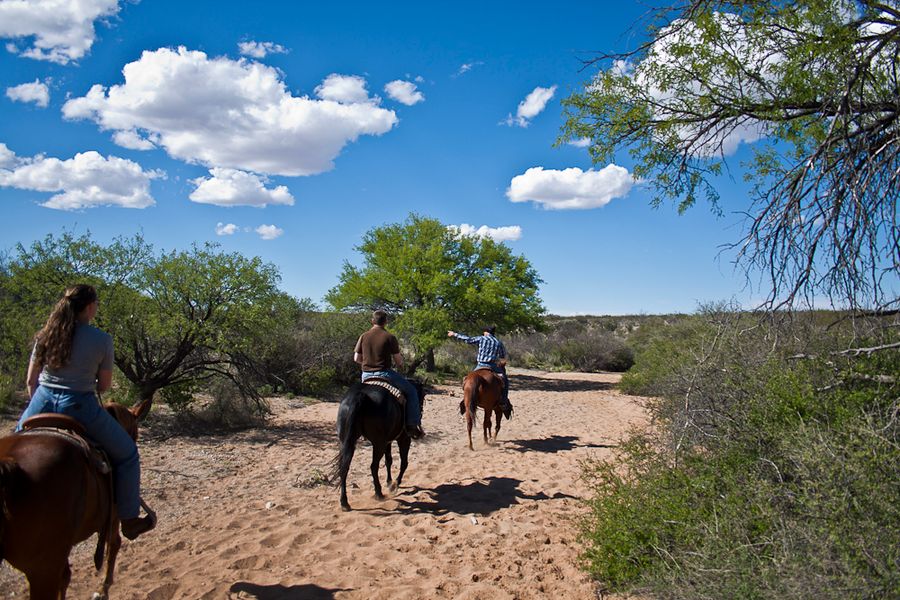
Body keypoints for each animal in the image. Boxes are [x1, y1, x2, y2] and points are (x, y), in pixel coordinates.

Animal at [0, 398, 152, 600]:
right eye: (134, 433)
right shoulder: (113, 514)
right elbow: (114, 544)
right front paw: (103, 590)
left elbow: (65, 577)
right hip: (43, 568)